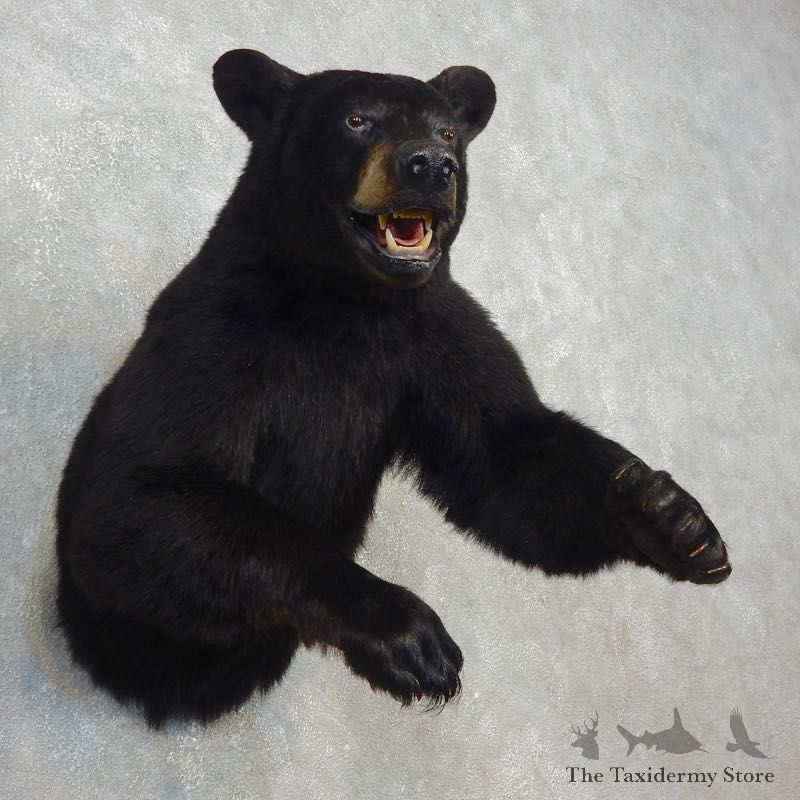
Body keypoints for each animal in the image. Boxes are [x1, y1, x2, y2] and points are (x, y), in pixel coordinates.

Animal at [56, 49, 731, 727]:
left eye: (447, 132)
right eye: (358, 119)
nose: (430, 166)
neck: (353, 304)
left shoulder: (440, 341)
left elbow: (507, 459)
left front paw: (668, 518)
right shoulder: (214, 331)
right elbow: (140, 496)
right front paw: (405, 633)